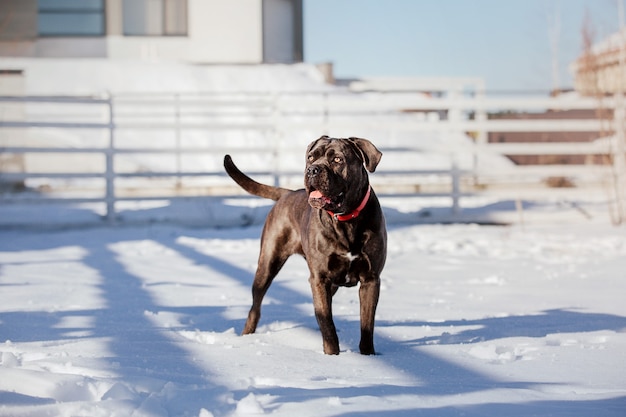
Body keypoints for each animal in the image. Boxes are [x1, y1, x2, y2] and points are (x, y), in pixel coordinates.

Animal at [219, 136, 386, 354]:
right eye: (311, 158)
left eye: (337, 159)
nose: (312, 170)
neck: (346, 221)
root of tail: (287, 194)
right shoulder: (319, 278)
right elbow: (328, 324)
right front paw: (333, 355)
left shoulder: (370, 279)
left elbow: (367, 324)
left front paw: (368, 355)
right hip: (267, 264)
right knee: (255, 306)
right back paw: (247, 335)